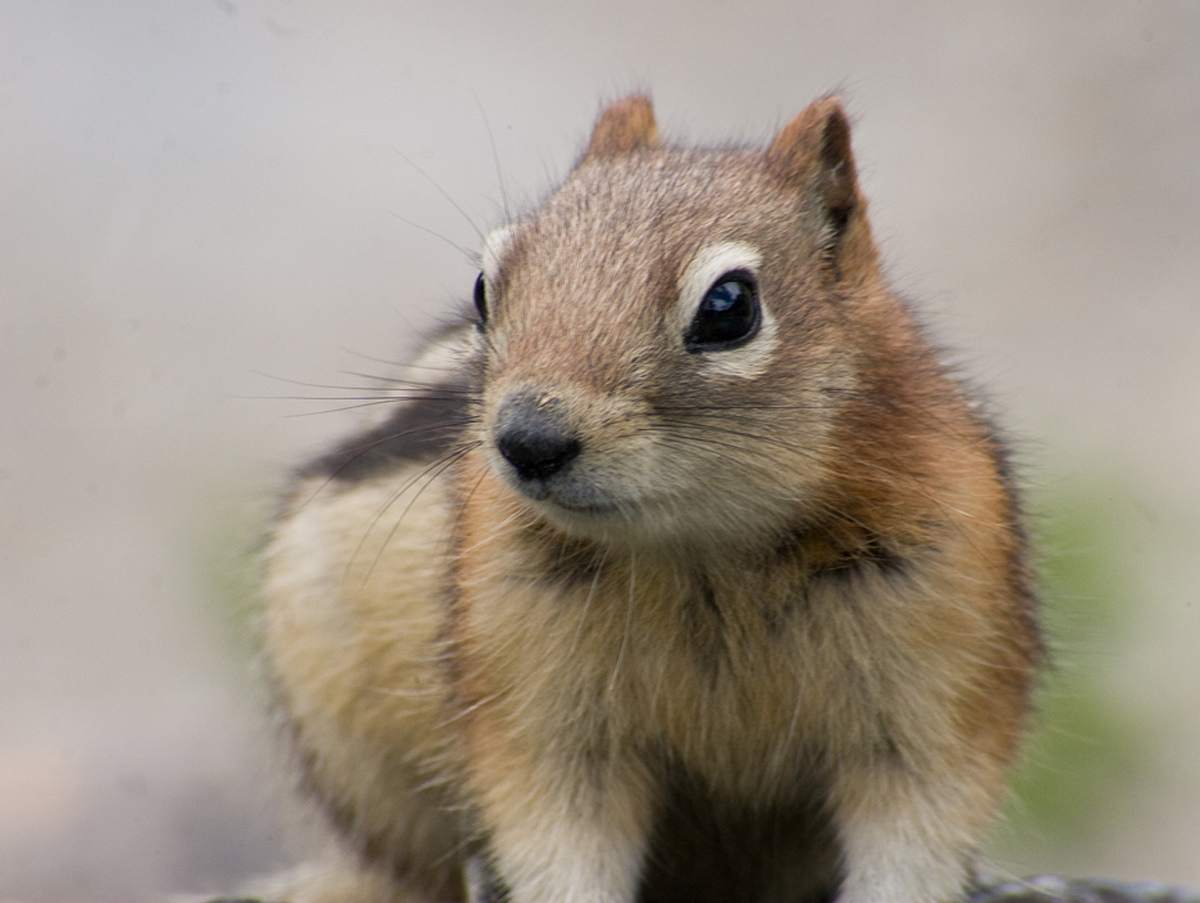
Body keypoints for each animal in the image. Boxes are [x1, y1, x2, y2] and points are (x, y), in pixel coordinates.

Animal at [260, 95, 1044, 903]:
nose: (528, 438)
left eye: (729, 306)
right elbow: (558, 844)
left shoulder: (936, 694)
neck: (708, 551)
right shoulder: (542, 714)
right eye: (483, 287)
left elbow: (914, 839)